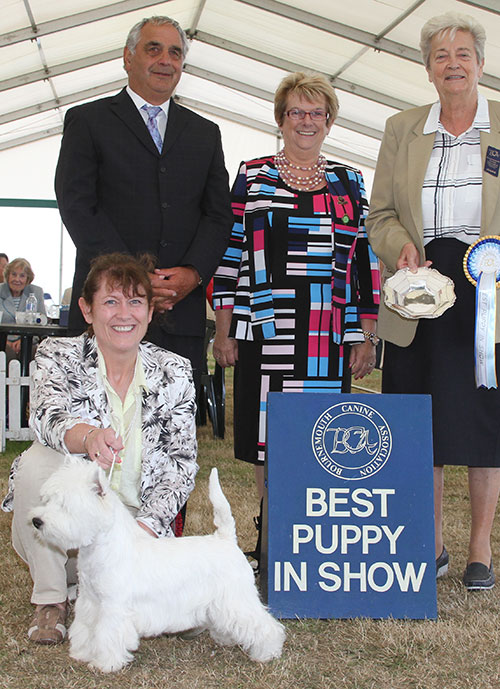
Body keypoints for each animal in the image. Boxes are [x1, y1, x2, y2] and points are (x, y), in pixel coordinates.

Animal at [30, 456, 286, 672]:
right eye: (47, 499)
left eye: (65, 506)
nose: (36, 521)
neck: (102, 548)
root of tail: (225, 539)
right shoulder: (90, 602)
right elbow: (85, 629)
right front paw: (82, 653)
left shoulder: (113, 607)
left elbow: (107, 635)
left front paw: (105, 664)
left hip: (237, 598)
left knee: (265, 625)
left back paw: (267, 652)